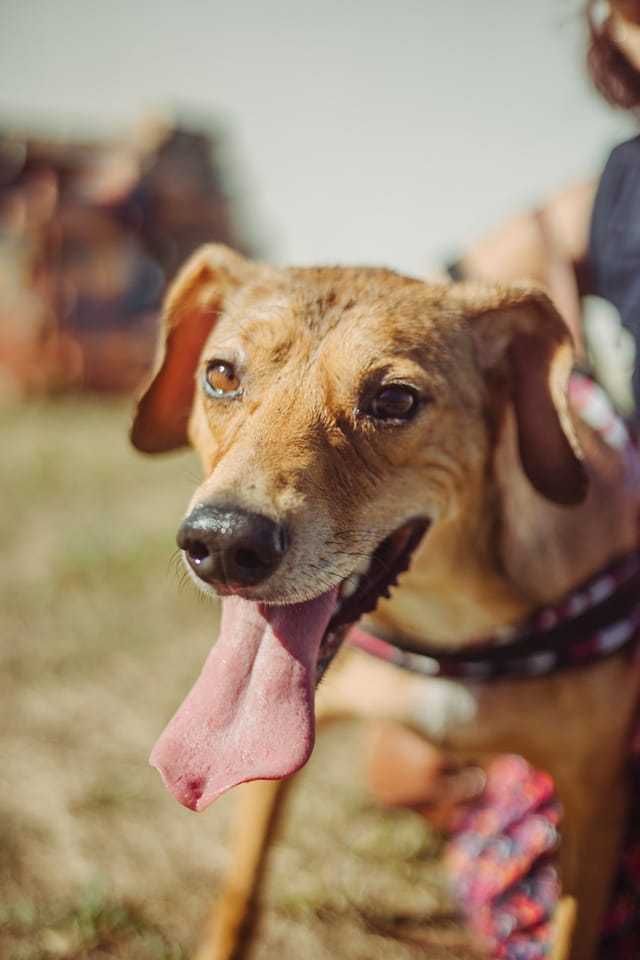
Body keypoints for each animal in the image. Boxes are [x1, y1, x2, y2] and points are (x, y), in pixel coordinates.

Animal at [130, 246, 640, 960]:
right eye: (222, 375)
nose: (225, 542)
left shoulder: (595, 796)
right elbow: (241, 892)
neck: (451, 623)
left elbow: (570, 936)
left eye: (394, 399)